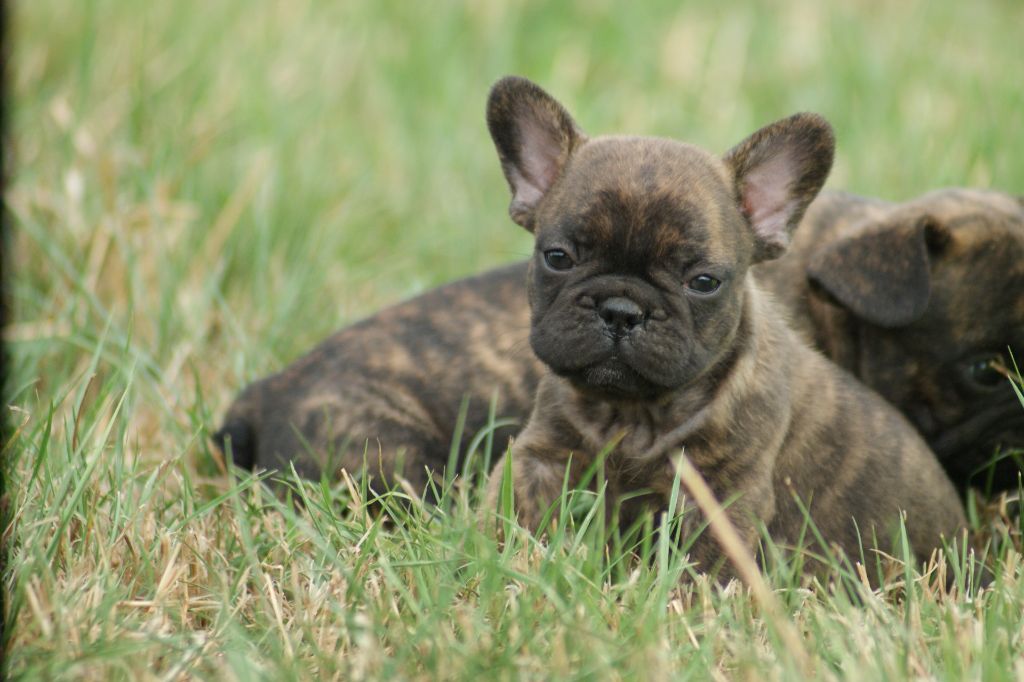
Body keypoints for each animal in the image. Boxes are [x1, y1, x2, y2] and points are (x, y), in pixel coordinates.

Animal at [477, 75, 958, 573]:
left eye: (703, 282)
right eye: (558, 258)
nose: (621, 310)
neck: (635, 412)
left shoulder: (722, 494)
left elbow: (705, 565)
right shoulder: (541, 455)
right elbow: (509, 509)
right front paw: (493, 560)